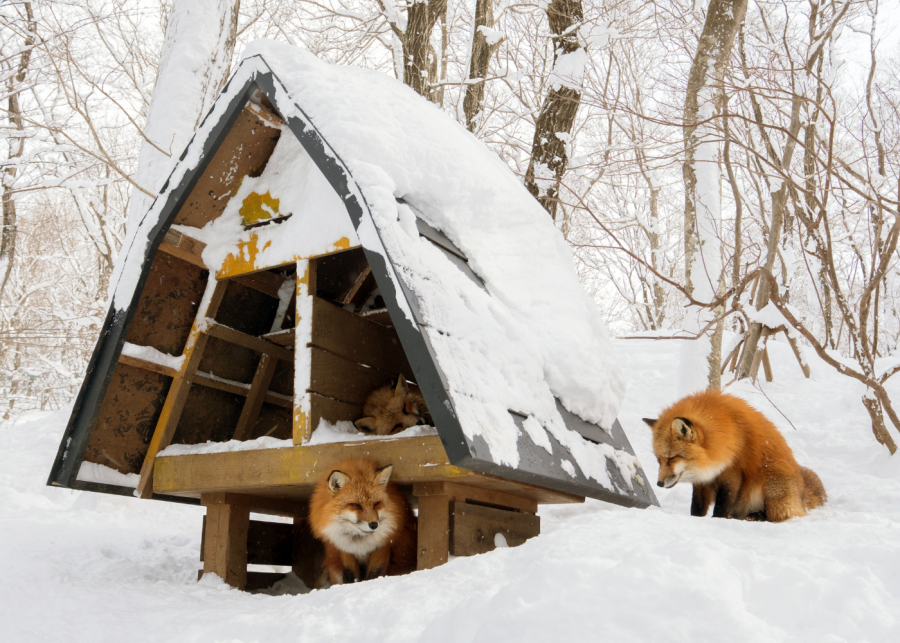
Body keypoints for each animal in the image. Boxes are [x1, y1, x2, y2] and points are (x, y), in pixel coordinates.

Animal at [642, 390, 826, 522]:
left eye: (672, 458)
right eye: (658, 459)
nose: (659, 483)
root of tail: (801, 491)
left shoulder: (733, 473)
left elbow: (722, 505)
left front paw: (718, 520)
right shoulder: (702, 478)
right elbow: (697, 506)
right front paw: (695, 519)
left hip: (772, 485)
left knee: (780, 515)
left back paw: (757, 516)